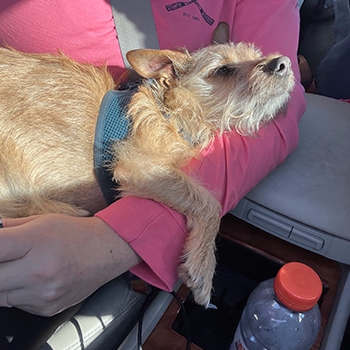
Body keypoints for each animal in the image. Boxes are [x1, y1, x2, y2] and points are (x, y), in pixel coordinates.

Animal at [0, 23, 296, 306]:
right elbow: (208, 203)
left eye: (255, 55)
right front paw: (203, 265)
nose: (282, 62)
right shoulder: (139, 166)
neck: (168, 112)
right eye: (223, 70)